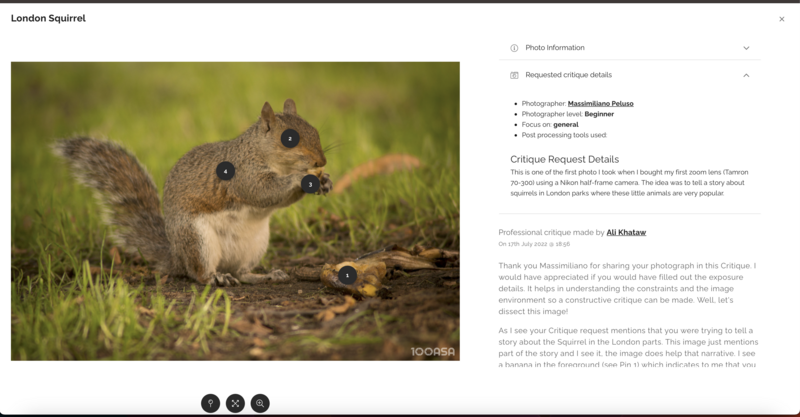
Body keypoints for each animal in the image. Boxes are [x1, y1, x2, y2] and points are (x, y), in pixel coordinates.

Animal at [54, 99, 332, 287]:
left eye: (315, 131)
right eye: (289, 139)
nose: (321, 161)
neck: (262, 153)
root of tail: (176, 257)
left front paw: (325, 181)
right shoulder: (244, 175)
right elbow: (264, 192)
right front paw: (302, 178)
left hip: (256, 244)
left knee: (242, 272)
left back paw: (264, 276)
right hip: (197, 239)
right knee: (198, 273)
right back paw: (216, 278)